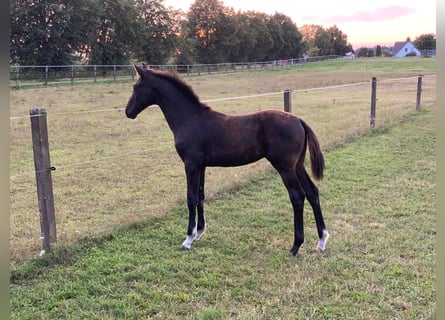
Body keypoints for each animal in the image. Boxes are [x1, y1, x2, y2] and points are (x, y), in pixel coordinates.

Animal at [123, 64, 328, 255]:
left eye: (136, 87)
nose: (128, 112)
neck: (189, 119)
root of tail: (299, 120)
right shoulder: (201, 166)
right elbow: (200, 196)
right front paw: (199, 232)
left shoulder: (191, 164)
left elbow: (190, 198)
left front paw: (188, 239)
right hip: (298, 166)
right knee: (312, 193)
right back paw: (322, 240)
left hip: (285, 168)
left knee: (298, 197)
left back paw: (295, 246)